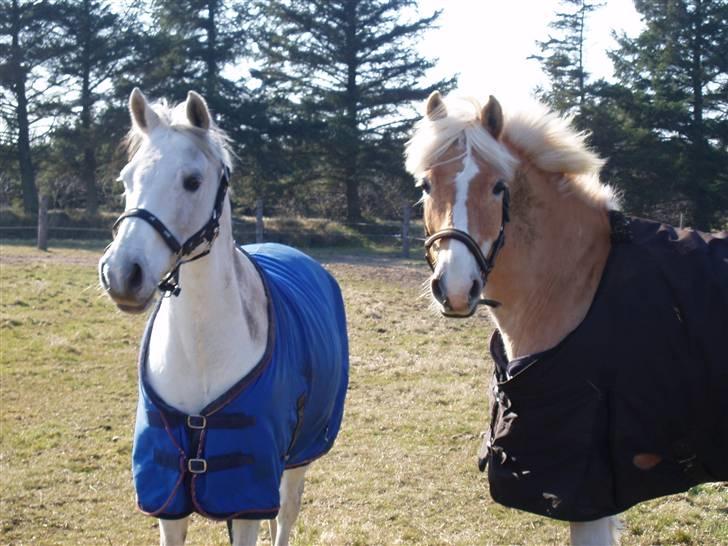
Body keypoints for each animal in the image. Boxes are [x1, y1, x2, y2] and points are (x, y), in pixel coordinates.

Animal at [98, 89, 348, 544]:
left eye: (192, 181)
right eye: (126, 179)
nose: (122, 274)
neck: (200, 353)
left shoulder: (248, 495)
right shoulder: (169, 497)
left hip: (301, 455)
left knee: (285, 516)